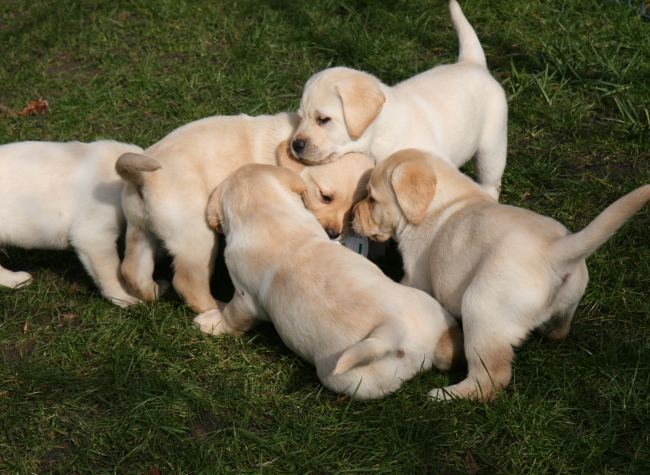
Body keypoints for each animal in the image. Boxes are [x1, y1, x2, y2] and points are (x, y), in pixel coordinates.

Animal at [114, 114, 372, 316]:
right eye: (325, 196)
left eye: (353, 208)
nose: (333, 234)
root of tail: (143, 178)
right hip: (197, 237)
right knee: (189, 284)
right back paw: (215, 310)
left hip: (140, 227)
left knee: (132, 269)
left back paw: (154, 290)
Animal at [192, 165, 460, 400]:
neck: (265, 213)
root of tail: (392, 332)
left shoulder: (244, 298)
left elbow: (232, 318)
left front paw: (211, 321)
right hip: (430, 308)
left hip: (347, 379)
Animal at [288, 0, 506, 200]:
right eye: (300, 118)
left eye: (323, 120)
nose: (296, 145)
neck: (377, 137)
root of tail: (472, 62)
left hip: (491, 149)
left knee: (490, 181)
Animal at [352, 149, 648, 402]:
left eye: (371, 198)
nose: (352, 213)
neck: (442, 203)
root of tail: (554, 251)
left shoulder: (417, 275)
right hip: (567, 301)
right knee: (560, 330)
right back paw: (549, 330)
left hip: (481, 310)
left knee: (490, 378)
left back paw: (446, 395)